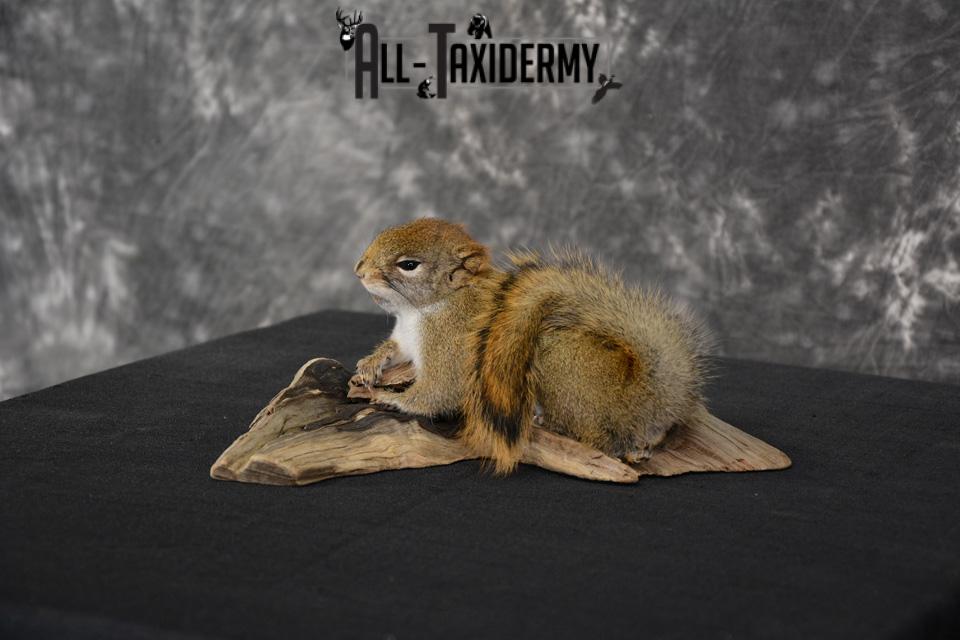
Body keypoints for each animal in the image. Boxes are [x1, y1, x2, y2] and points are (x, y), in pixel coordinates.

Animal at [351, 218, 712, 474]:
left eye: (409, 265)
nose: (359, 271)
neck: (422, 310)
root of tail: (646, 396)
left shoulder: (449, 343)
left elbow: (438, 392)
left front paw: (392, 399)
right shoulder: (406, 339)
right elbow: (394, 350)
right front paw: (369, 365)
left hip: (557, 366)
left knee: (598, 438)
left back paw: (548, 422)